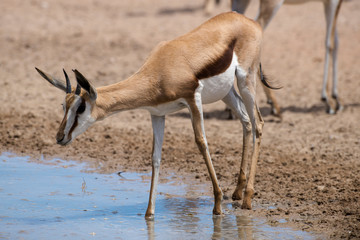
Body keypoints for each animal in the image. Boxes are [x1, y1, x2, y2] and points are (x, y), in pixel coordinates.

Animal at [35, 12, 274, 218]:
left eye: (81, 108)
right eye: (63, 106)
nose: (60, 137)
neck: (159, 71)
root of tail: (248, 20)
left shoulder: (193, 100)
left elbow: (201, 143)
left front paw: (217, 205)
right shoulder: (157, 114)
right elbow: (155, 157)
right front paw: (149, 214)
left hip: (246, 80)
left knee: (259, 123)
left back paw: (247, 199)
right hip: (226, 92)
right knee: (246, 121)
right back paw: (237, 192)